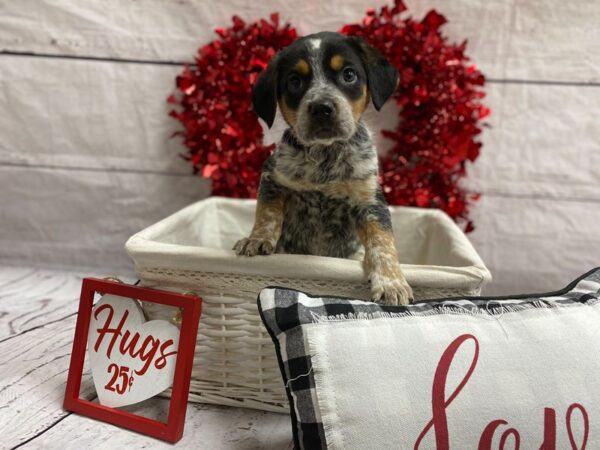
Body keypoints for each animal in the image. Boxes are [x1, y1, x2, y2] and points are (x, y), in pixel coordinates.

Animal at [234, 30, 412, 306]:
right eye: (294, 81)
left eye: (348, 74)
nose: (321, 108)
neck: (325, 157)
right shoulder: (272, 176)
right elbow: (267, 213)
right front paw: (257, 239)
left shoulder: (370, 200)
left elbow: (382, 241)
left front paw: (391, 282)